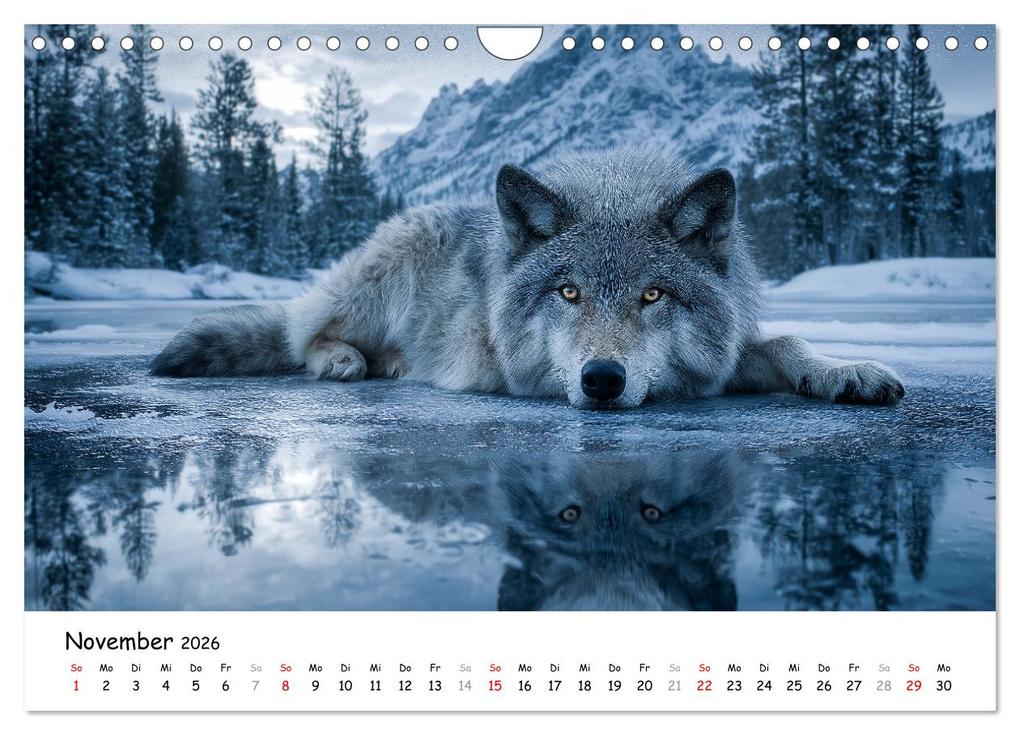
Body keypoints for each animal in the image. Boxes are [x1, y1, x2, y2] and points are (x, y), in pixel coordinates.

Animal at [152, 150, 904, 409]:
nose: (602, 379)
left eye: (653, 295)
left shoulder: (717, 360)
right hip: (379, 277)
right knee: (302, 331)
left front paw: (846, 370)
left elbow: (785, 344)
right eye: (567, 292)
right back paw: (343, 359)